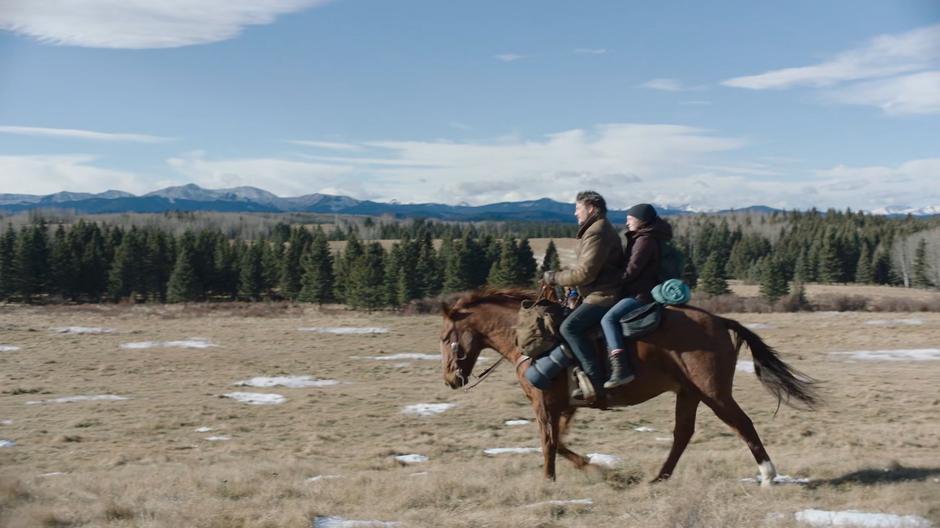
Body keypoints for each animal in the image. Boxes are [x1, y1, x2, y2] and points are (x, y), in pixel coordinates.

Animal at [440, 288, 816, 486]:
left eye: (445, 338)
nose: (450, 379)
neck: (525, 337)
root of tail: (721, 321)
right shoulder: (566, 406)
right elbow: (559, 442)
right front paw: (594, 466)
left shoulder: (543, 404)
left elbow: (548, 443)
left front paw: (549, 482)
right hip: (689, 393)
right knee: (683, 434)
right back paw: (659, 478)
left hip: (714, 392)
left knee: (742, 424)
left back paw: (768, 474)